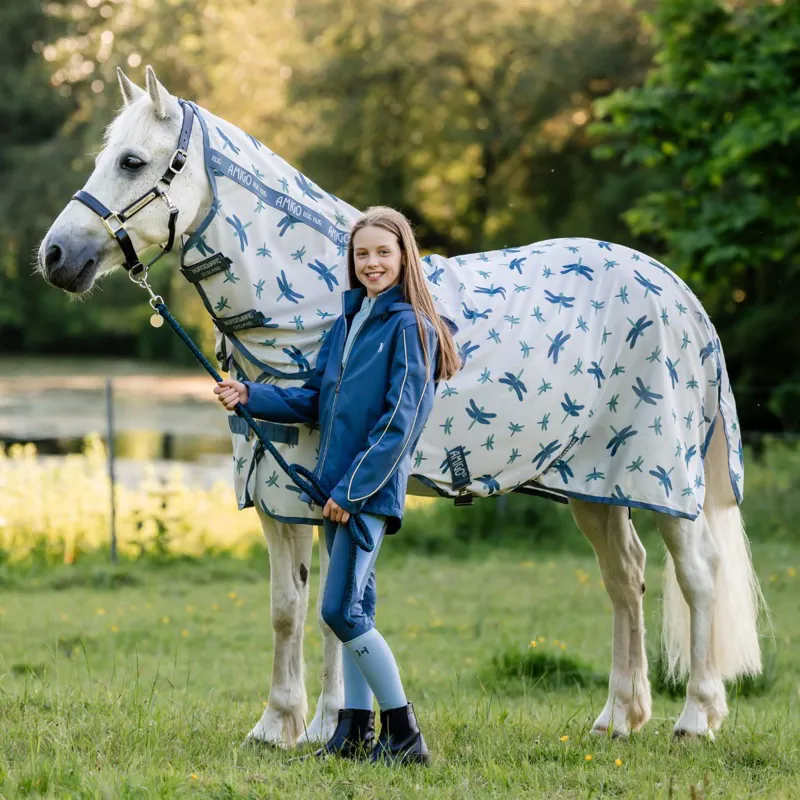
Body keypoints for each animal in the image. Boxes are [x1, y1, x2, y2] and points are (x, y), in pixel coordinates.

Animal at [37, 66, 764, 744]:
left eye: (133, 161)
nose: (54, 255)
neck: (317, 307)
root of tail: (675, 291)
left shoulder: (322, 489)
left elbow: (326, 615)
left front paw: (323, 724)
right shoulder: (280, 492)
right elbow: (289, 607)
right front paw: (282, 726)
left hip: (662, 479)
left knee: (697, 577)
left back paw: (696, 717)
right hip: (595, 485)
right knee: (624, 576)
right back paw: (619, 716)